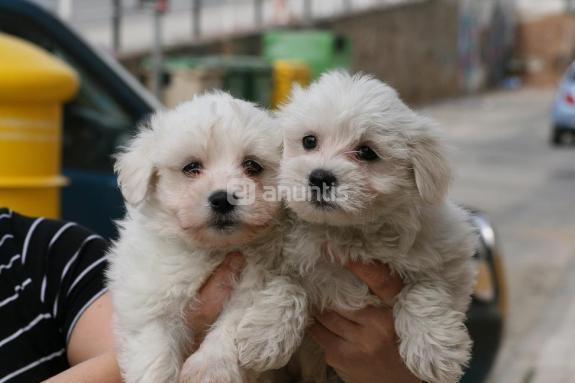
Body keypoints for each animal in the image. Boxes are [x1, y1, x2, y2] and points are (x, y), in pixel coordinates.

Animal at [106, 93, 308, 383]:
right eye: (191, 167)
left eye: (252, 166)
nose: (223, 199)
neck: (211, 249)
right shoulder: (149, 302)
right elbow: (155, 356)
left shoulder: (252, 283)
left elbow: (231, 324)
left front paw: (212, 368)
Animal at [276, 73, 480, 383]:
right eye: (309, 141)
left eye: (366, 152)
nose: (320, 177)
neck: (351, 232)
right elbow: (286, 282)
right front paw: (264, 335)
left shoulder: (451, 253)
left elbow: (425, 288)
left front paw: (434, 351)